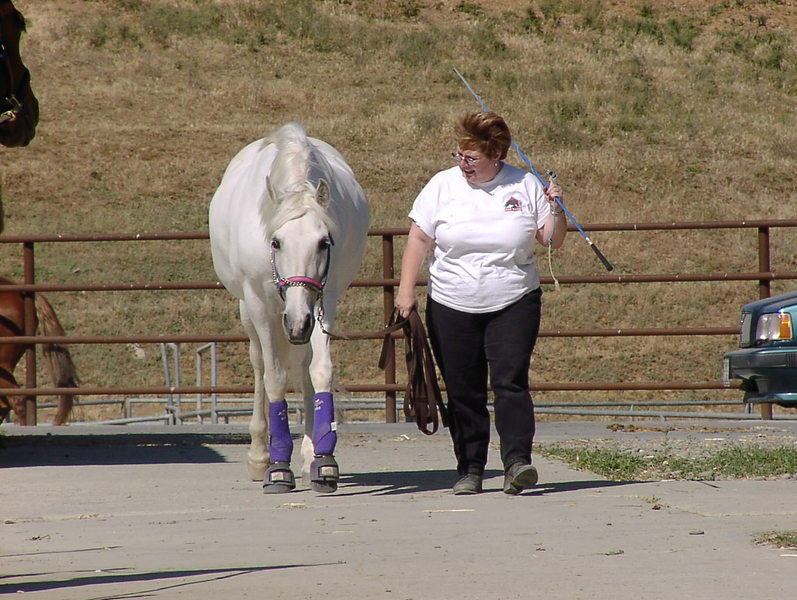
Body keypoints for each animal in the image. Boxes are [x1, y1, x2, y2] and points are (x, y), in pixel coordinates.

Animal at [209, 122, 369, 494]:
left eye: (324, 242)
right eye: (276, 242)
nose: (297, 322)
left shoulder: (324, 302)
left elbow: (320, 370)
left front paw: (323, 458)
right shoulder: (259, 305)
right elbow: (275, 378)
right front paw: (277, 465)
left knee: (304, 364)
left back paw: (309, 451)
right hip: (252, 311)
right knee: (259, 365)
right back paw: (259, 455)